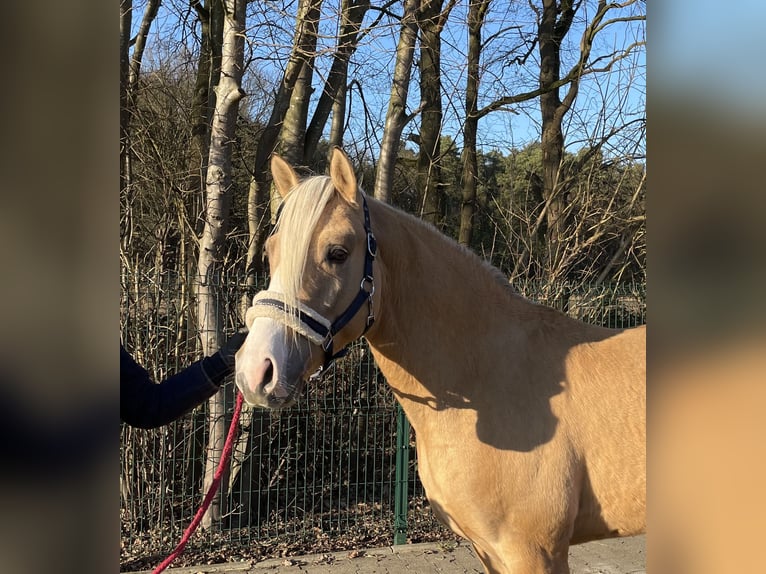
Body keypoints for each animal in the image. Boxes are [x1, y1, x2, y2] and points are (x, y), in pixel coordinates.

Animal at [236, 150, 648, 574]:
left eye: (338, 253)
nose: (256, 371)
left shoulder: (534, 552)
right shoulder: (489, 550)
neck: (487, 377)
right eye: (270, 252)